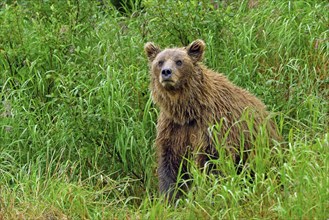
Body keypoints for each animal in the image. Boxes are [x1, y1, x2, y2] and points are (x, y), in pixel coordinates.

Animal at [144, 39, 280, 199]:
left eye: (179, 61)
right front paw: (170, 196)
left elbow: (213, 162)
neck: (187, 111)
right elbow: (171, 165)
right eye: (160, 62)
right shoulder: (173, 129)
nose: (166, 72)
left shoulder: (213, 125)